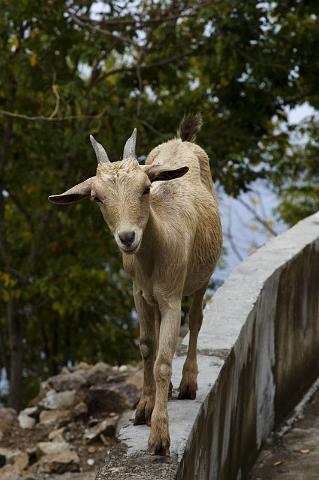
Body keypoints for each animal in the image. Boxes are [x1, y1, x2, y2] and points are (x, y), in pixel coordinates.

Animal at [49, 114, 222, 456]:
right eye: (97, 198)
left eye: (145, 188)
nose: (127, 237)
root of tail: (182, 141)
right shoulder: (139, 293)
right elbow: (146, 347)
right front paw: (143, 408)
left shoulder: (170, 296)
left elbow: (164, 361)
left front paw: (159, 437)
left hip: (201, 277)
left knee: (196, 320)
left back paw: (188, 383)